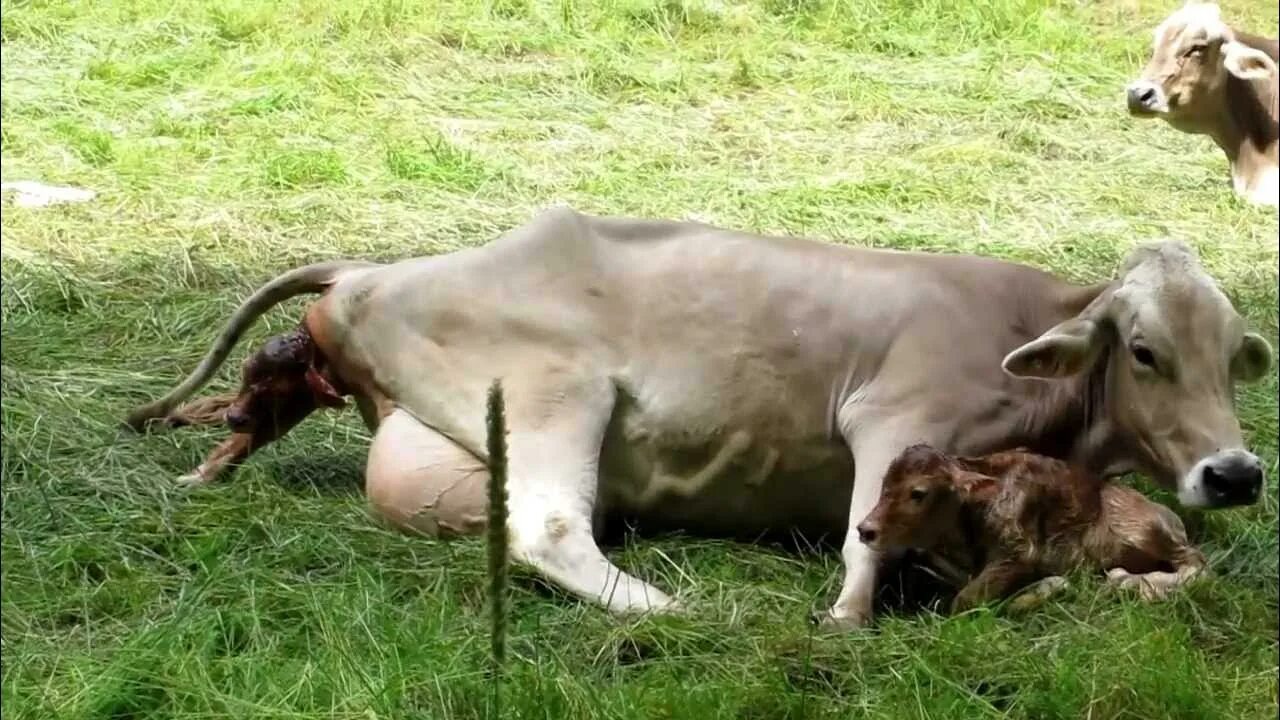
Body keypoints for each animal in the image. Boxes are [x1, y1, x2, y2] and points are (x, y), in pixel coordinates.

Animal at [855, 443, 1203, 609]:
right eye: (884, 485)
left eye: (918, 493)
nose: (865, 529)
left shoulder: (1020, 550)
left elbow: (964, 602)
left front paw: (1045, 590)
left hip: (1145, 530)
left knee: (1197, 566)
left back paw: (1133, 583)